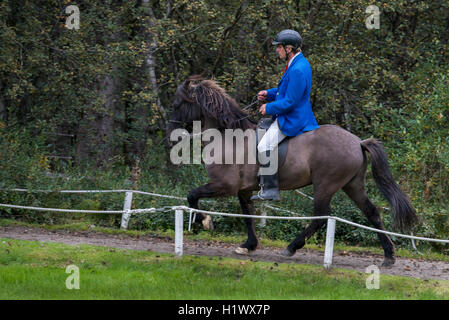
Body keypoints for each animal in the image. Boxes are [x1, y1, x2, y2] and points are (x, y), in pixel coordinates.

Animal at [167, 75, 416, 268]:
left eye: (177, 104)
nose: (171, 134)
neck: (228, 138)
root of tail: (357, 142)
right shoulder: (244, 190)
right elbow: (248, 216)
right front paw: (249, 245)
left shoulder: (224, 186)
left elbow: (192, 195)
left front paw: (204, 222)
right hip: (353, 185)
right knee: (372, 212)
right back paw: (388, 256)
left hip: (325, 186)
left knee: (320, 217)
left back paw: (291, 247)